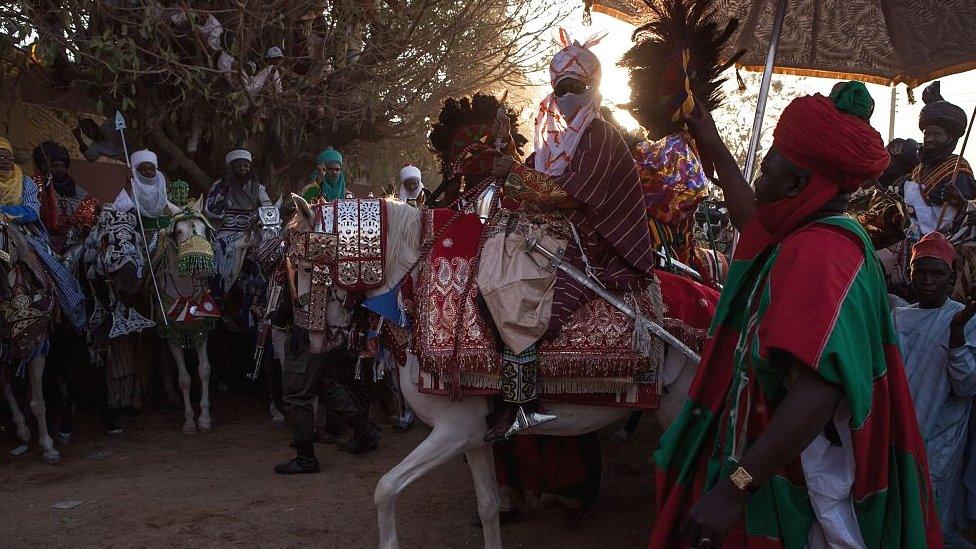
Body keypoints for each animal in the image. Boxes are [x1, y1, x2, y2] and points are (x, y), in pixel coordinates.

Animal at [286, 197, 696, 548]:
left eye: (305, 267)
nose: (314, 340)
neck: (415, 294)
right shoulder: (474, 436)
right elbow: (487, 507)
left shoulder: (453, 431)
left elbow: (385, 489)